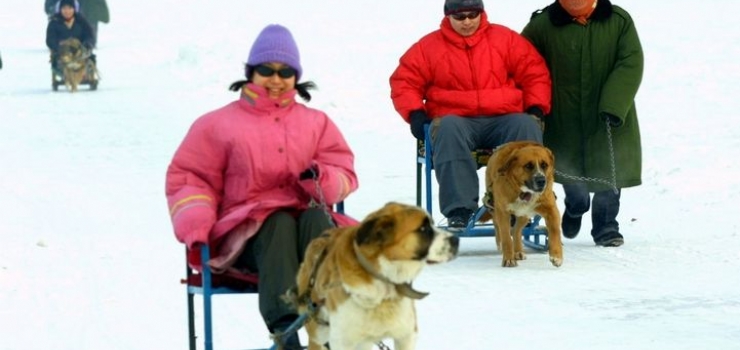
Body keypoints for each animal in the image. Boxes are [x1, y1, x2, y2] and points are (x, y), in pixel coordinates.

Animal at [294, 202, 456, 350]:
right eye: (423, 229)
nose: (456, 240)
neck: (383, 292)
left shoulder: (407, 335)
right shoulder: (342, 341)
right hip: (319, 334)